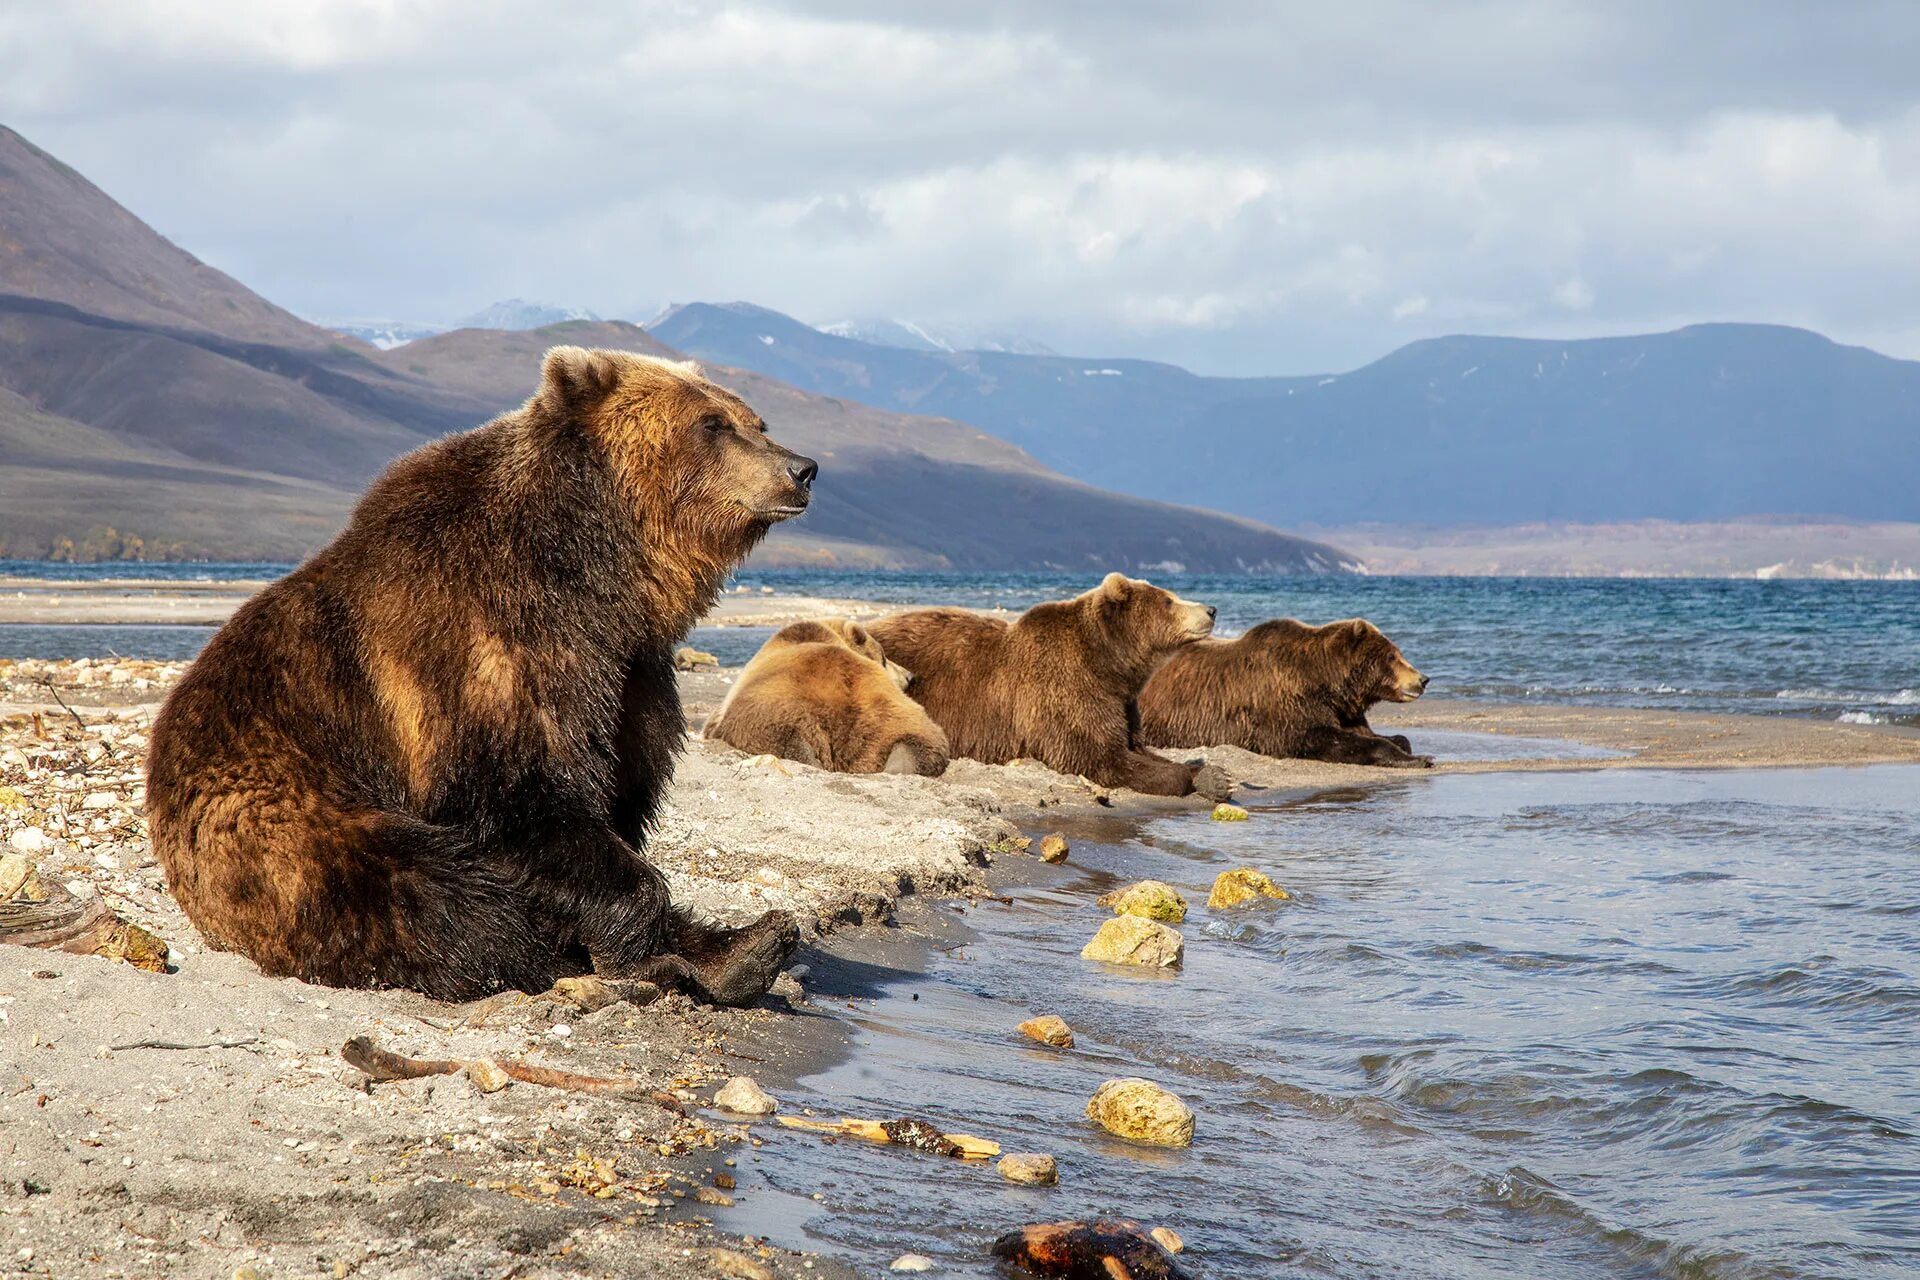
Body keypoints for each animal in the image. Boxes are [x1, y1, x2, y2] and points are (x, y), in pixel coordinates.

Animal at [144, 353, 817, 1013]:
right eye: (712, 424)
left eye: (755, 420)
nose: (802, 468)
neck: (600, 575)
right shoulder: (485, 646)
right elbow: (514, 797)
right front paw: (637, 949)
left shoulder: (630, 673)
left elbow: (617, 800)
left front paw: (702, 945)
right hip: (288, 822)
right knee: (426, 891)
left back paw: (752, 945)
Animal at [867, 575, 1221, 794]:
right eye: (1168, 601)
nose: (1211, 609)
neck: (1111, 664)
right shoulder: (1066, 689)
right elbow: (1099, 755)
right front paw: (1183, 775)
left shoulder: (1123, 700)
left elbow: (1136, 745)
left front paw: (1212, 774)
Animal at [1128, 614, 1436, 767]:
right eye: (1393, 656)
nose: (1423, 679)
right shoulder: (1286, 705)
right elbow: (1321, 737)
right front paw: (1421, 758)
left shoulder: (1341, 709)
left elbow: (1369, 733)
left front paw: (1404, 744)